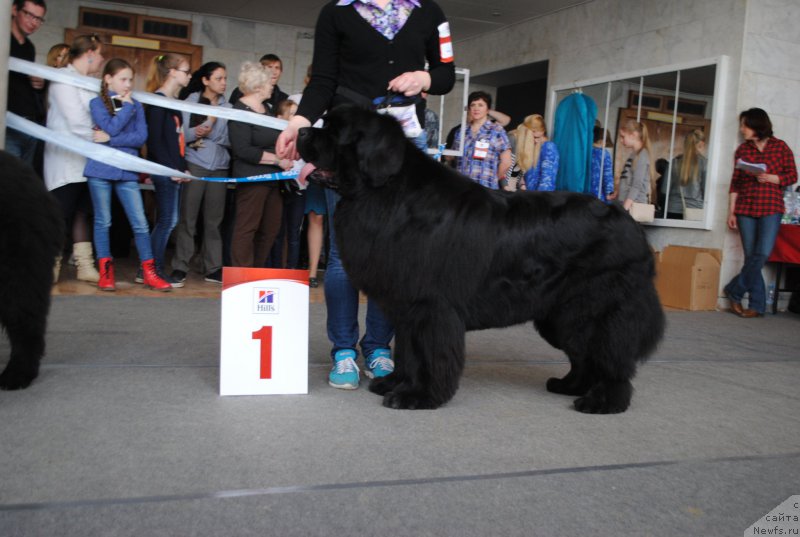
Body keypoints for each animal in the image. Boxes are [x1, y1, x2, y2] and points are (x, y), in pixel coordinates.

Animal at [296, 105, 664, 414]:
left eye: (334, 131)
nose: (300, 132)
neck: (388, 193)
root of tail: (628, 221)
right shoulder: (407, 307)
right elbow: (408, 352)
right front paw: (397, 384)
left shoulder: (432, 307)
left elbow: (430, 355)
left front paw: (419, 396)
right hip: (560, 317)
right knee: (584, 356)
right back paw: (569, 385)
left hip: (593, 311)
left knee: (609, 357)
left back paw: (603, 402)